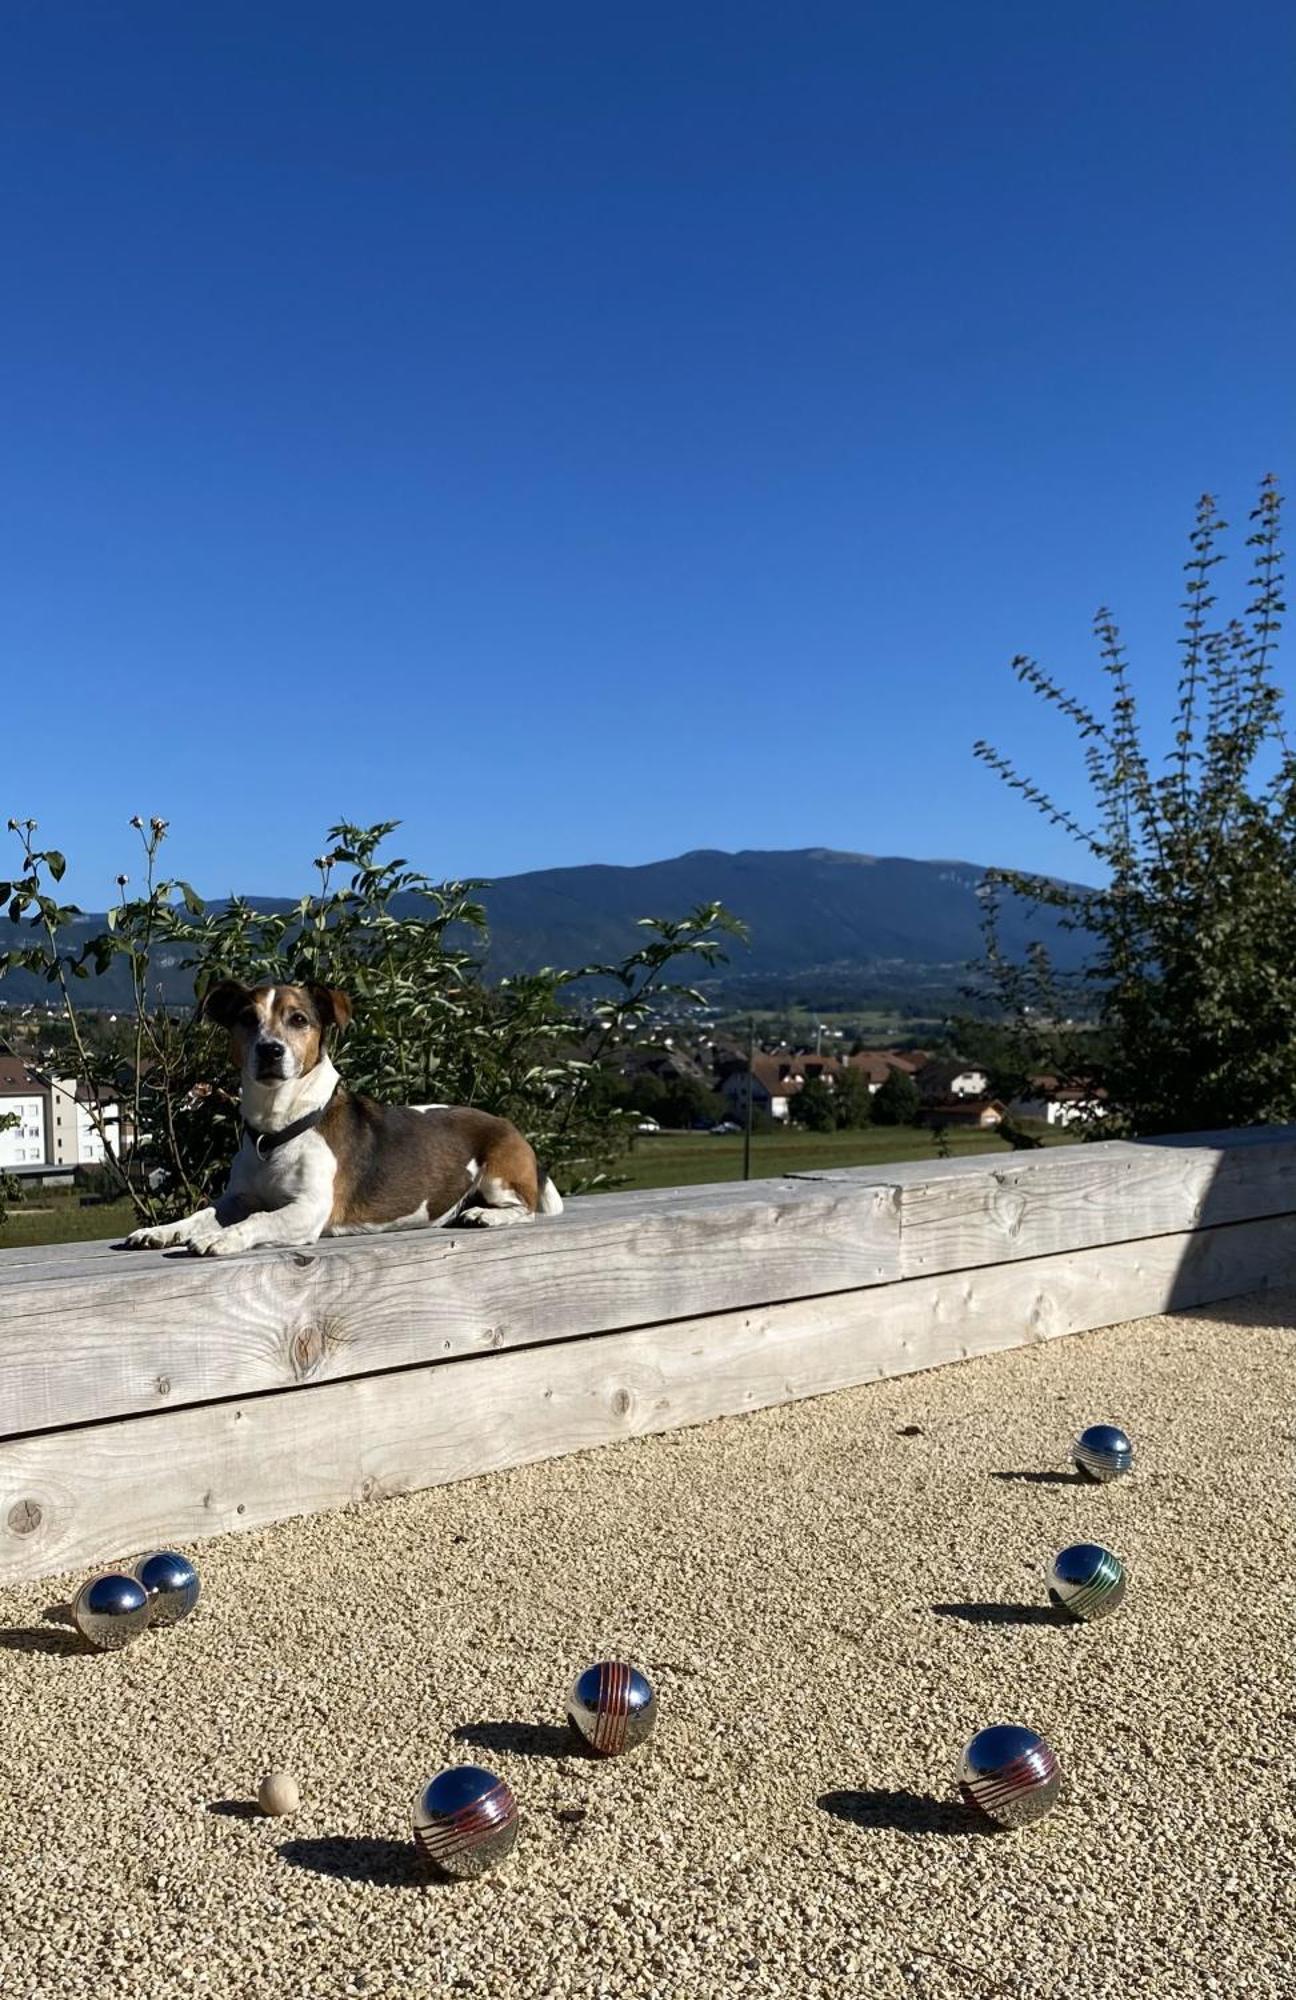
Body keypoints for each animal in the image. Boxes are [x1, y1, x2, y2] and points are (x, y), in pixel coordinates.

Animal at [121, 980, 560, 1256]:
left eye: (299, 1019)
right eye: (246, 1019)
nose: (270, 1050)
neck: (278, 1128)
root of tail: (509, 1125)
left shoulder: (309, 1210)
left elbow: (260, 1219)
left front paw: (224, 1239)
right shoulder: (237, 1198)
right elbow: (201, 1215)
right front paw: (161, 1231)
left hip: (501, 1175)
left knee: (526, 1209)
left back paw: (483, 1214)